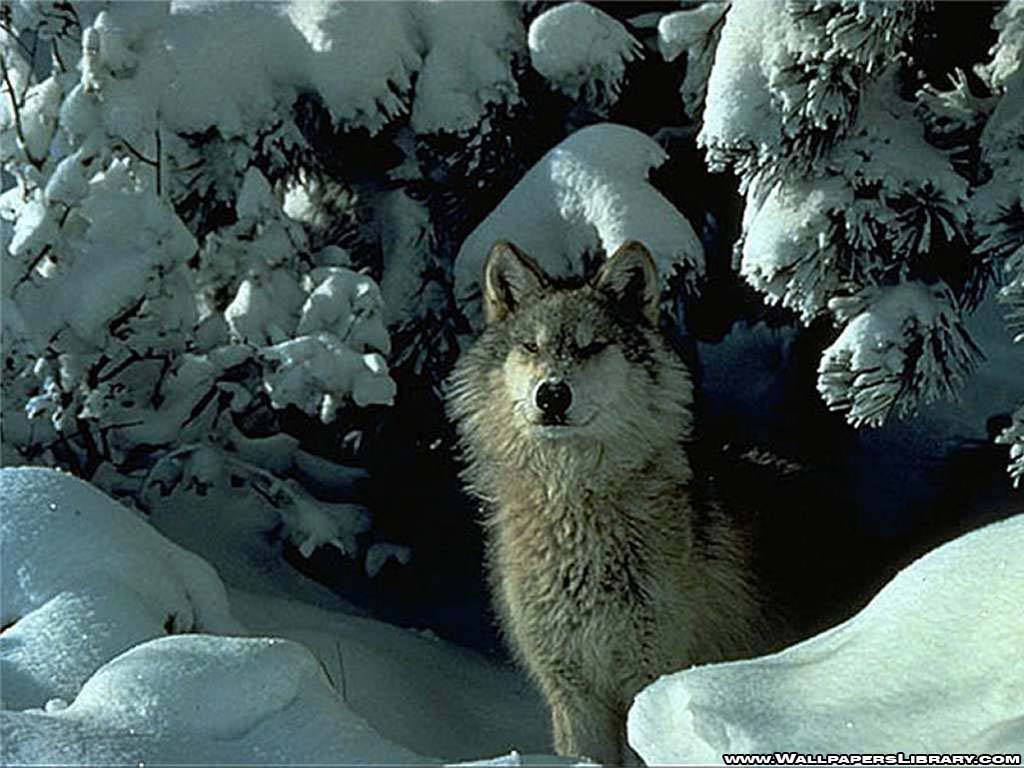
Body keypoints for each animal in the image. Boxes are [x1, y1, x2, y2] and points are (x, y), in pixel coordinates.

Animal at [447, 240, 771, 765]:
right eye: (531, 347)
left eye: (591, 346)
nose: (552, 394)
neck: (574, 505)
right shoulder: (572, 693)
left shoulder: (648, 681)